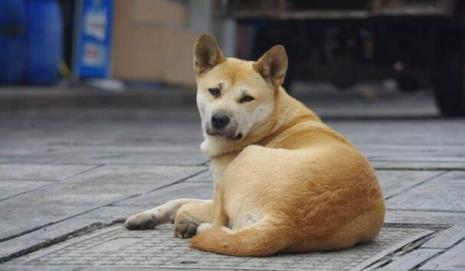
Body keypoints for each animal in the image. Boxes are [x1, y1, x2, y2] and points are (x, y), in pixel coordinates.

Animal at [126, 34, 384, 258]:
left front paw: (183, 223)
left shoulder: (216, 196)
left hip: (246, 161)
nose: (219, 119)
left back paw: (197, 228)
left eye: (247, 98)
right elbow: (175, 200)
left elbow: (183, 204)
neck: (272, 122)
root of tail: (285, 220)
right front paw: (145, 217)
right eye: (214, 91)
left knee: (217, 222)